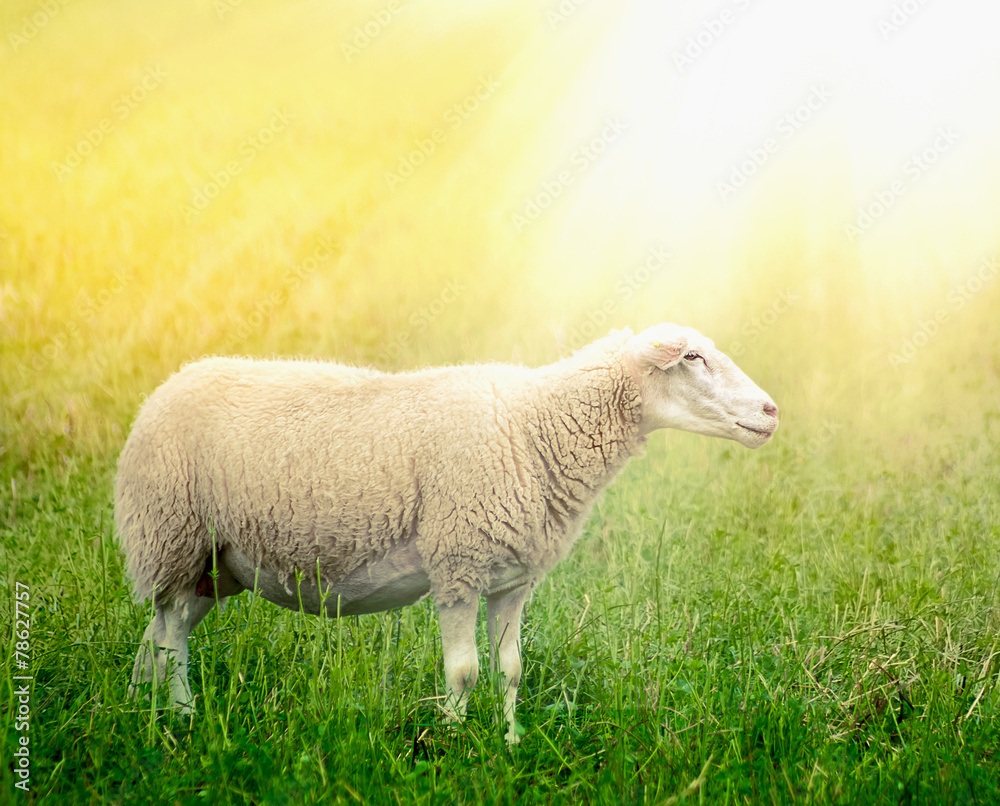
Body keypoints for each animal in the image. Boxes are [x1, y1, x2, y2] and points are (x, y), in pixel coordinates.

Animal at [117, 323, 778, 744]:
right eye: (691, 359)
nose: (772, 412)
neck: (536, 427)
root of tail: (163, 389)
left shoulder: (511, 577)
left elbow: (511, 669)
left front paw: (510, 742)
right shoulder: (458, 562)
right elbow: (464, 672)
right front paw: (455, 743)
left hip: (212, 565)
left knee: (161, 632)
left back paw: (141, 708)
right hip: (172, 532)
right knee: (169, 636)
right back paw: (181, 715)